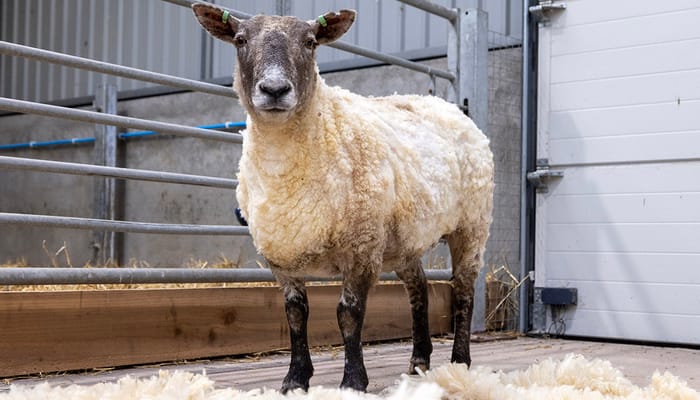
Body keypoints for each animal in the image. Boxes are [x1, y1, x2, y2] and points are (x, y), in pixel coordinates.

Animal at [192, 4, 494, 393]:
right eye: (240, 40)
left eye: (310, 42)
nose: (274, 89)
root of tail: (446, 105)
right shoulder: (281, 254)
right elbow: (295, 314)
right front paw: (295, 379)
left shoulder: (361, 247)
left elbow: (348, 314)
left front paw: (352, 380)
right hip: (402, 239)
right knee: (419, 289)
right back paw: (418, 362)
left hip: (471, 224)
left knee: (463, 292)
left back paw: (459, 362)